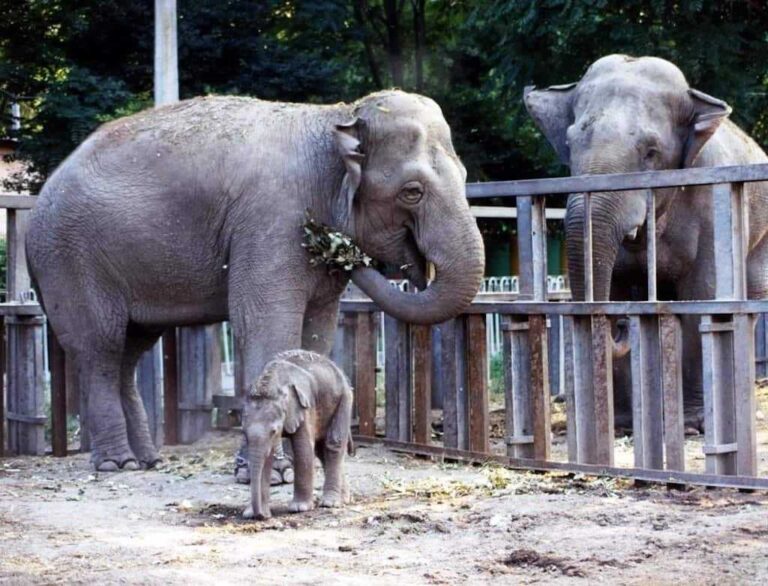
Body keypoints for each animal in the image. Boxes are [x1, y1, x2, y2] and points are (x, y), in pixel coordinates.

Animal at [28, 90, 486, 470]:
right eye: (412, 192)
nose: (343, 248)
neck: (336, 117)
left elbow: (317, 332)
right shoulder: (272, 220)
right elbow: (266, 323)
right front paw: (271, 471)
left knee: (130, 350)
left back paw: (147, 461)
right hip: (71, 259)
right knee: (100, 347)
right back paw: (116, 464)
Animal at [243, 346, 354, 516]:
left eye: (274, 431)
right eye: (244, 433)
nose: (262, 516)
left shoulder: (304, 406)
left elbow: (303, 448)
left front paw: (299, 508)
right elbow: (266, 457)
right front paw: (250, 514)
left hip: (344, 399)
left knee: (333, 444)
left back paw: (330, 503)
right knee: (321, 451)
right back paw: (344, 499)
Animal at [524, 54, 768, 426]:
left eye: (651, 151)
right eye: (569, 144)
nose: (622, 328)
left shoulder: (712, 205)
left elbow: (702, 295)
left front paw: (694, 422)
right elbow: (616, 292)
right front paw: (622, 423)